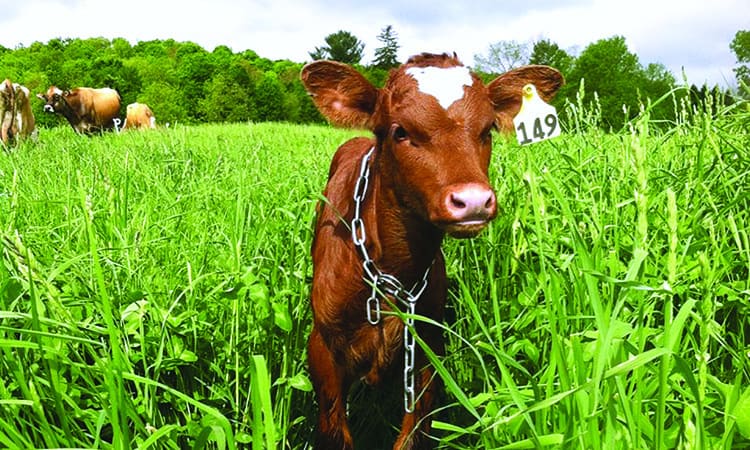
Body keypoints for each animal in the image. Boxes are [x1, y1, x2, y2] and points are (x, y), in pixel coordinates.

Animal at [301, 53, 563, 450]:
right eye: (400, 131)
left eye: (487, 130)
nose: (472, 200)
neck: (392, 270)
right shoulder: (323, 347)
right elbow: (335, 433)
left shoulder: (427, 346)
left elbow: (414, 434)